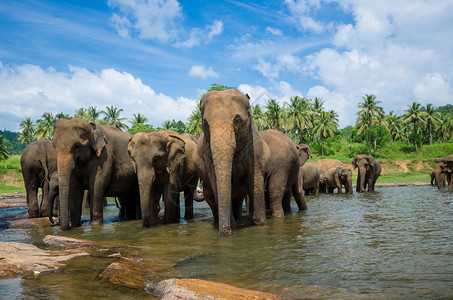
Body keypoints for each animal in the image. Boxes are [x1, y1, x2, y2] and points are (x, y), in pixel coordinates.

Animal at [192, 88, 268, 236]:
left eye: (237, 120)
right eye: (205, 123)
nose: (225, 232)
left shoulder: (255, 147)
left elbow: (255, 178)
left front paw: (260, 225)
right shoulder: (207, 151)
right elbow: (215, 179)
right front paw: (232, 227)